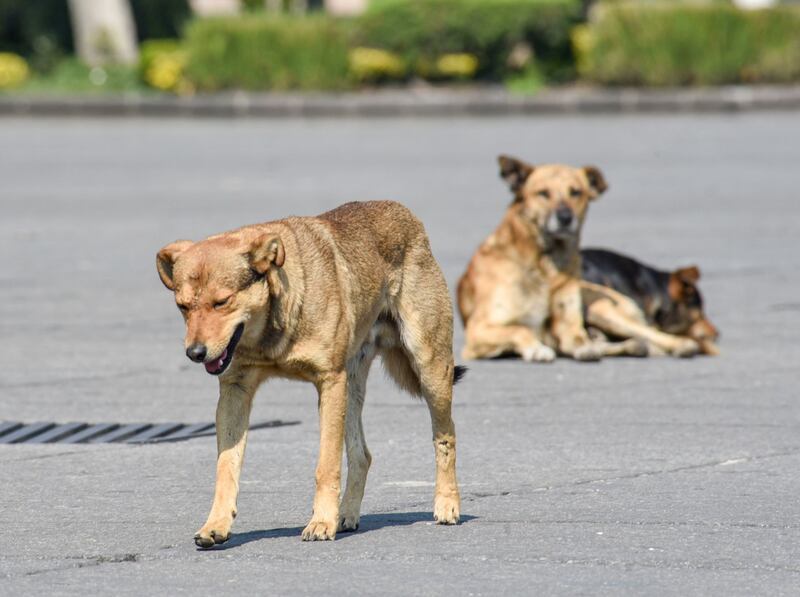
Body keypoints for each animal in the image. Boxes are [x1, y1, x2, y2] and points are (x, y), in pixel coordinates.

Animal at [155, 200, 462, 544]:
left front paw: (321, 522)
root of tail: (403, 211)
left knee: (445, 436)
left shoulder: (329, 381)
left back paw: (447, 504)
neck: (271, 331)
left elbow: (326, 465)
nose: (194, 353)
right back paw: (346, 514)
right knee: (362, 455)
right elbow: (226, 466)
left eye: (222, 302)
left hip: (428, 368)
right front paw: (216, 524)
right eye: (183, 306)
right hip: (351, 389)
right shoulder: (235, 392)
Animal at [456, 156, 644, 360]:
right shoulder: (478, 329)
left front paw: (586, 346)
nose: (565, 217)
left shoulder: (567, 326)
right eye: (543, 193)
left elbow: (578, 339)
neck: (545, 265)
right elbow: (519, 329)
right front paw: (536, 349)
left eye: (576, 192)